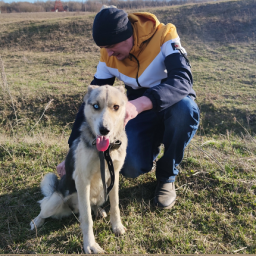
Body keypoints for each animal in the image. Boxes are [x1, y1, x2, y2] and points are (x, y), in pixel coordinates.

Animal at [30, 85, 128, 253]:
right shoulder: (82, 181)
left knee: (91, 206)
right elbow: (87, 219)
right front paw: (90, 244)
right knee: (44, 206)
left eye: (116, 107)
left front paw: (116, 226)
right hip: (55, 200)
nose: (104, 130)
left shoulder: (113, 177)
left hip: (102, 193)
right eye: (96, 106)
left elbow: (115, 206)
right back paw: (37, 221)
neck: (105, 151)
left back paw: (98, 210)